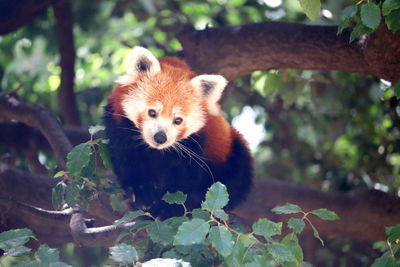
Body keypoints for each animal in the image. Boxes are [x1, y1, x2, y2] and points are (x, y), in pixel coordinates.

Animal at [104, 45, 253, 218]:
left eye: (178, 120)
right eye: (152, 112)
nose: (160, 137)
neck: (156, 151)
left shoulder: (196, 144)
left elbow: (183, 179)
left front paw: (167, 208)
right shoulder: (118, 125)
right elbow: (127, 159)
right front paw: (142, 192)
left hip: (232, 149)